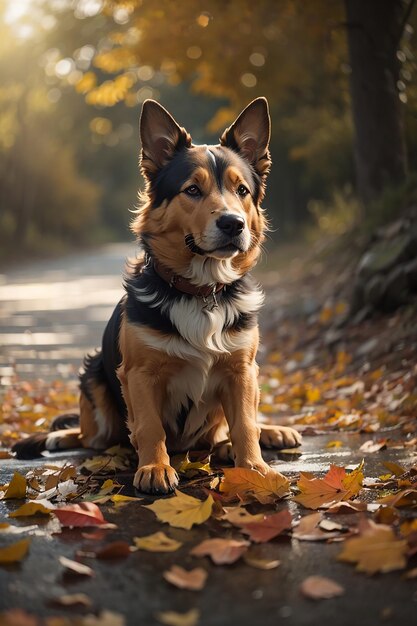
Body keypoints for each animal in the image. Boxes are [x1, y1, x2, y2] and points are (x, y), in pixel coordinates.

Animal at [12, 97, 300, 492]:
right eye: (192, 190)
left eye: (242, 190)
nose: (233, 224)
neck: (199, 290)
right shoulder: (139, 375)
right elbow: (150, 427)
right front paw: (154, 467)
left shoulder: (242, 371)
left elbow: (244, 425)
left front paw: (255, 468)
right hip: (94, 379)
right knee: (91, 438)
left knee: (229, 430)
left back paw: (265, 433)